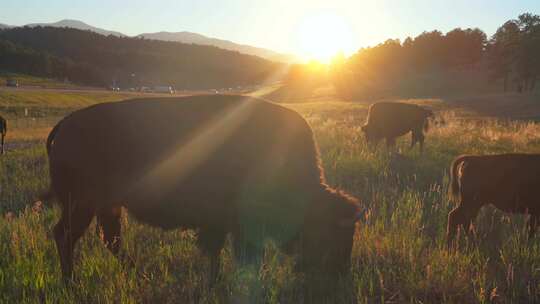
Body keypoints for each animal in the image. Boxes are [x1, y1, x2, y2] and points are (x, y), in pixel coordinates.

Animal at [44, 94, 360, 280]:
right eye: (332, 234)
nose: (339, 273)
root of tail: (64, 126)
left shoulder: (221, 224)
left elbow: (217, 251)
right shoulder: (234, 224)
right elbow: (236, 254)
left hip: (106, 206)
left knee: (109, 240)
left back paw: (136, 273)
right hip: (81, 204)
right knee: (66, 236)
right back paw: (71, 281)